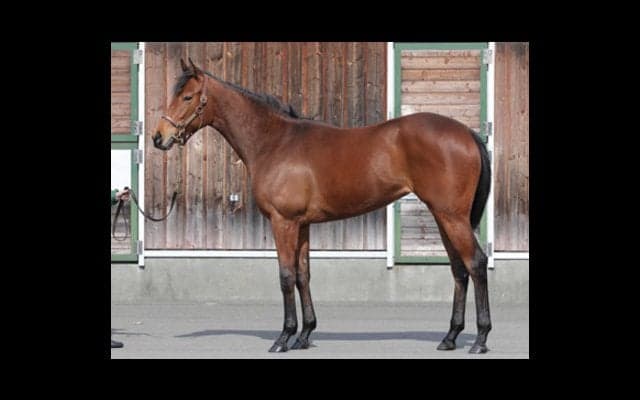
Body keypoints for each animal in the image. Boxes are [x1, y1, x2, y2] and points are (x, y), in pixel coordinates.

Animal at [152, 58, 492, 354]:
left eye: (187, 96)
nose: (159, 137)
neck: (274, 142)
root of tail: (467, 133)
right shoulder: (302, 225)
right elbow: (304, 275)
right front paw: (304, 335)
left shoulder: (283, 222)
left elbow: (286, 276)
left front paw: (283, 338)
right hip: (443, 215)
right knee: (459, 269)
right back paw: (450, 337)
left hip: (452, 216)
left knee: (476, 263)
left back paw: (480, 339)